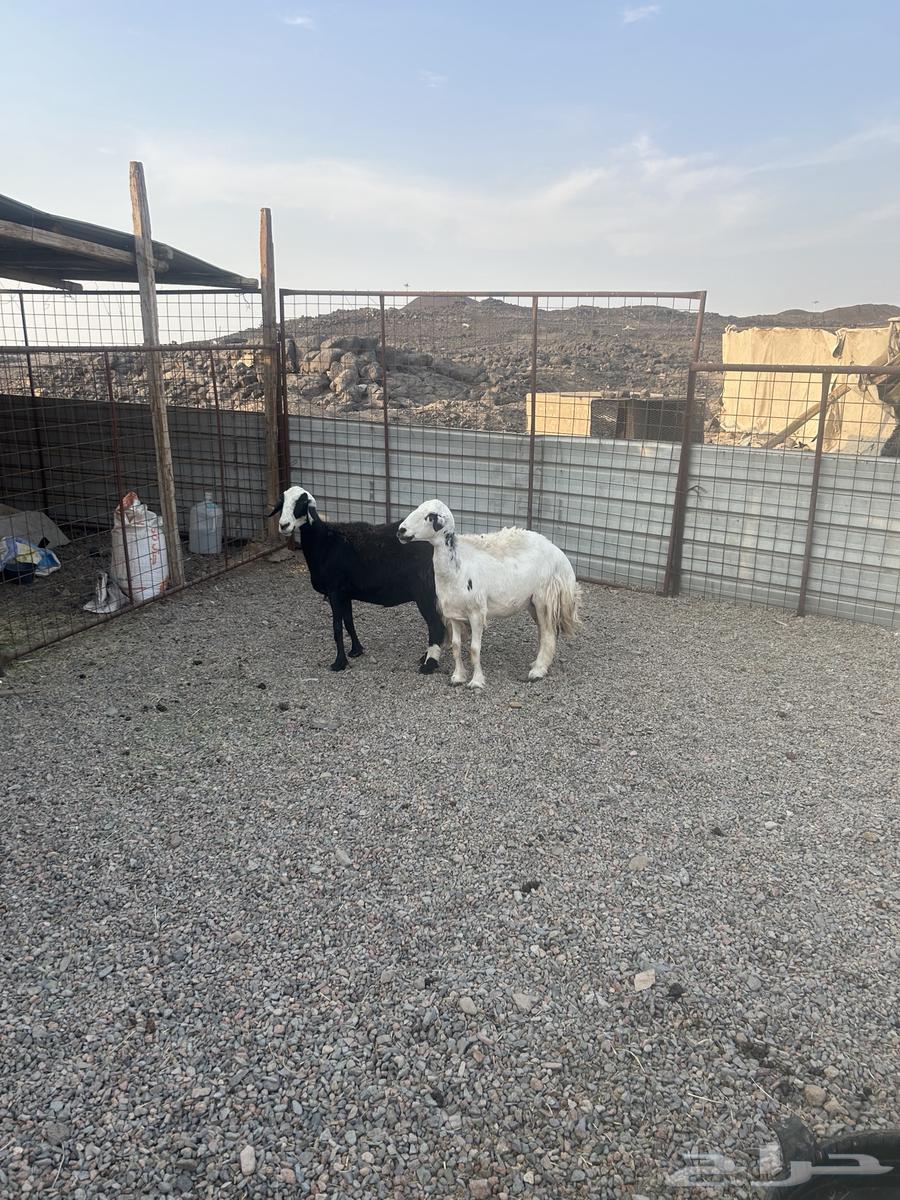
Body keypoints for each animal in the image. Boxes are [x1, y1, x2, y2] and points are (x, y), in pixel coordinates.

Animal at [268, 485, 446, 674]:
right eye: (282, 502)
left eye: (301, 503)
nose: (284, 525)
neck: (325, 542)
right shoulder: (344, 593)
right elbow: (348, 622)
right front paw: (356, 650)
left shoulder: (334, 590)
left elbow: (337, 628)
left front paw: (339, 663)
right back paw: (425, 657)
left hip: (425, 592)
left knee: (436, 625)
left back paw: (429, 664)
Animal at [397, 500, 580, 689]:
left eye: (430, 516)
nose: (401, 531)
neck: (457, 567)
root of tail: (561, 557)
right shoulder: (454, 613)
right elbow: (456, 646)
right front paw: (458, 677)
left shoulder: (476, 612)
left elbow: (474, 649)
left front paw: (476, 681)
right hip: (532, 603)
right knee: (543, 633)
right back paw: (537, 663)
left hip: (544, 597)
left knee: (549, 634)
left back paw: (537, 671)